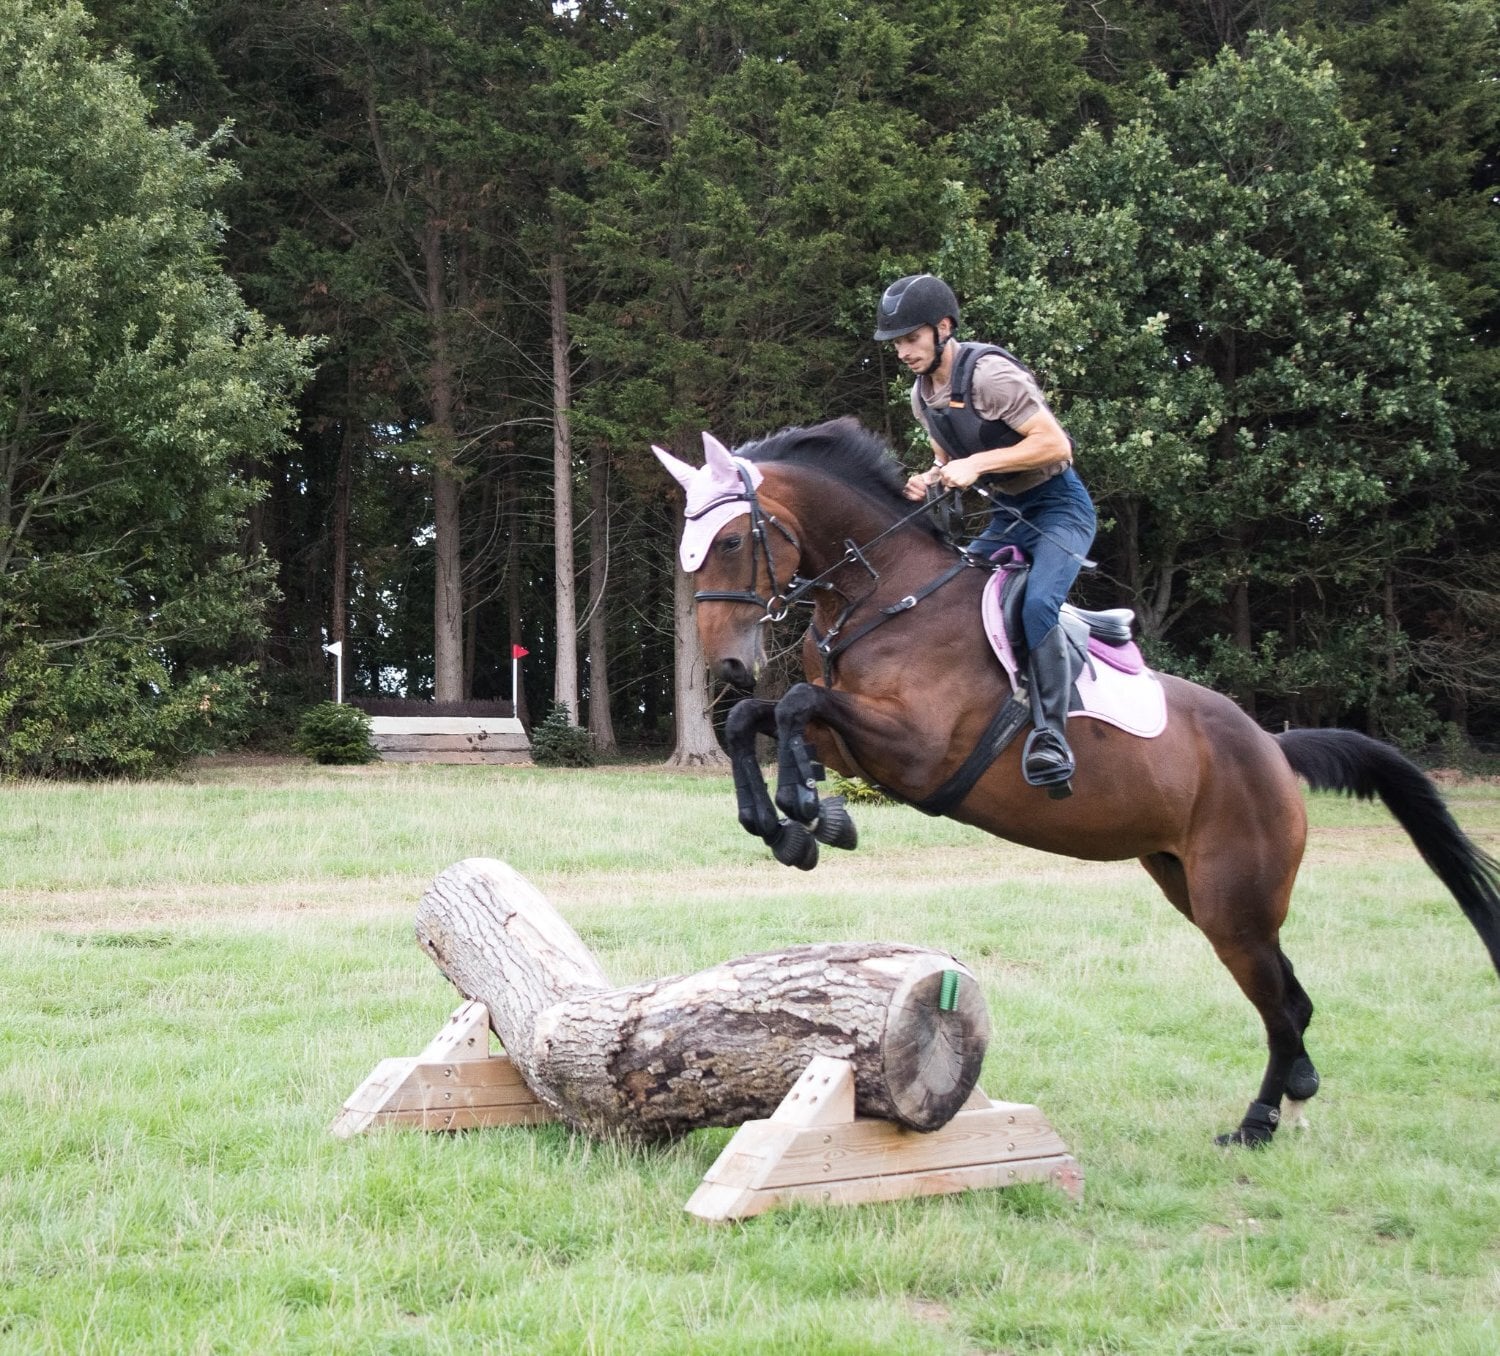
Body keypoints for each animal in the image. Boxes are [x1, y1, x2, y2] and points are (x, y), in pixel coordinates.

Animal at [653, 417, 1500, 1147]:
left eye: (733, 540)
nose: (729, 665)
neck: (888, 596)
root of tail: (1272, 747)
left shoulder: (918, 751)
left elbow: (795, 703)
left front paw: (808, 809)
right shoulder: (860, 740)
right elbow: (758, 719)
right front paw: (791, 825)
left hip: (1235, 903)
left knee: (1284, 1007)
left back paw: (1260, 1121)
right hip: (1192, 886)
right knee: (1291, 998)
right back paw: (1289, 1099)